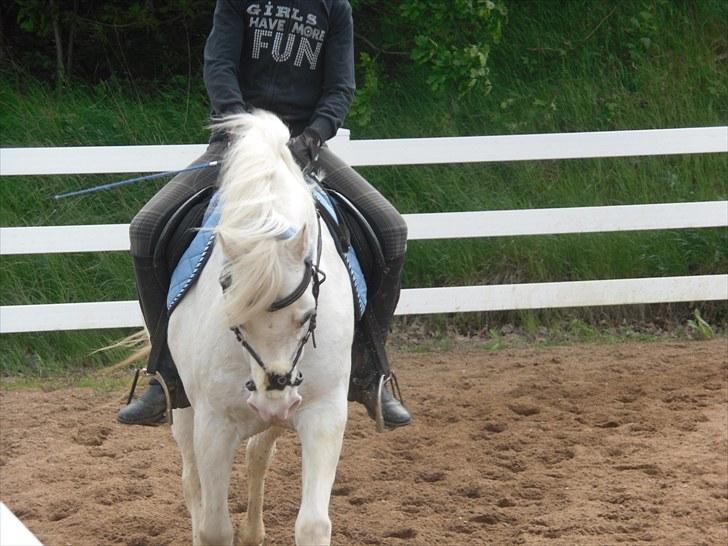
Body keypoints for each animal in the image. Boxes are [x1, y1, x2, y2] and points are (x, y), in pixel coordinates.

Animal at [168, 108, 356, 540]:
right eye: (233, 317)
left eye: (307, 315)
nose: (275, 401)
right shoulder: (213, 425)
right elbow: (214, 528)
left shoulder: (324, 410)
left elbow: (313, 524)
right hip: (183, 407)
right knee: (191, 481)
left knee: (257, 455)